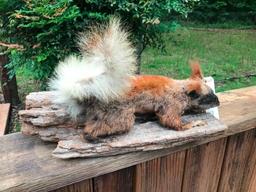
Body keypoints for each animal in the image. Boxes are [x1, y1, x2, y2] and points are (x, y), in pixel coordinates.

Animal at [49, 18, 219, 140]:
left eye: (212, 92)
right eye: (207, 96)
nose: (217, 102)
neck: (181, 89)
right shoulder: (171, 104)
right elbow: (171, 120)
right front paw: (192, 124)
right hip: (120, 115)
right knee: (96, 129)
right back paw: (94, 137)